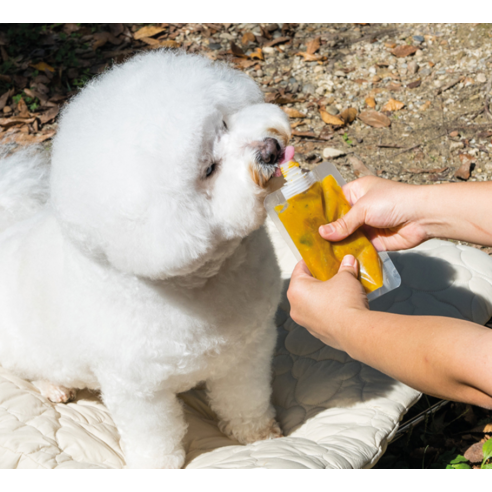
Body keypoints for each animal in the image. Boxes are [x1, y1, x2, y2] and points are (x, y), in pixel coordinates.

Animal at [0, 51, 292, 468]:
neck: (203, 279)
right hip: (24, 348)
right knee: (30, 369)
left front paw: (258, 434)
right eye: (208, 169)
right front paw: (156, 466)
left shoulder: (248, 351)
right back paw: (53, 386)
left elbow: (245, 398)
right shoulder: (138, 388)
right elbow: (154, 435)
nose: (270, 149)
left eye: (222, 122)